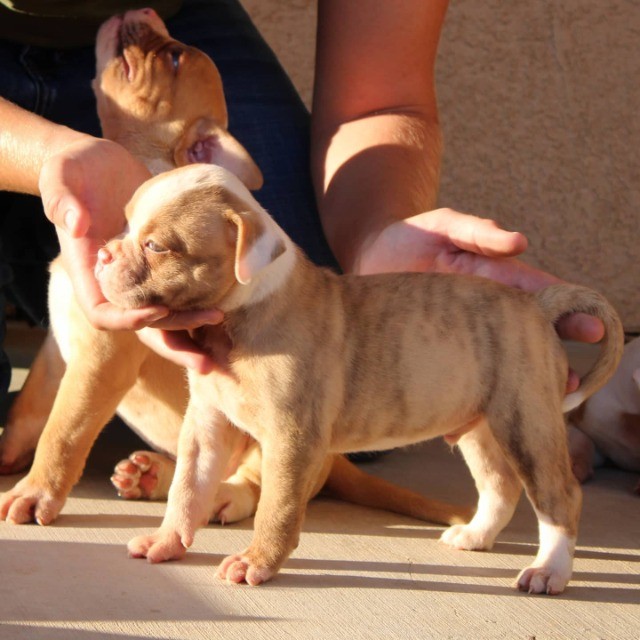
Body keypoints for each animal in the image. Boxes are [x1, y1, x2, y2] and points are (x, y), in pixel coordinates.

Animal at [0, 8, 470, 528]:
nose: (142, 11)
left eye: (174, 56)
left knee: (253, 483)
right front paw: (5, 455)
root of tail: (336, 460)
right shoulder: (56, 354)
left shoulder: (100, 360)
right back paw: (151, 475)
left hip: (272, 431)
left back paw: (221, 497)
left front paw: (36, 492)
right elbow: (29, 412)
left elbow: (63, 430)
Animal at [96, 164, 624, 596]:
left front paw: (256, 562)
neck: (241, 313)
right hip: (482, 427)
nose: (101, 254)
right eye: (124, 224)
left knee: (558, 496)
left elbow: (276, 506)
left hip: (527, 421)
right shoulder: (207, 426)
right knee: (500, 485)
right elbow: (187, 490)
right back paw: (475, 536)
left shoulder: (292, 438)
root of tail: (535, 304)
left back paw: (549, 570)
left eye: (156, 246)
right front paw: (167, 541)